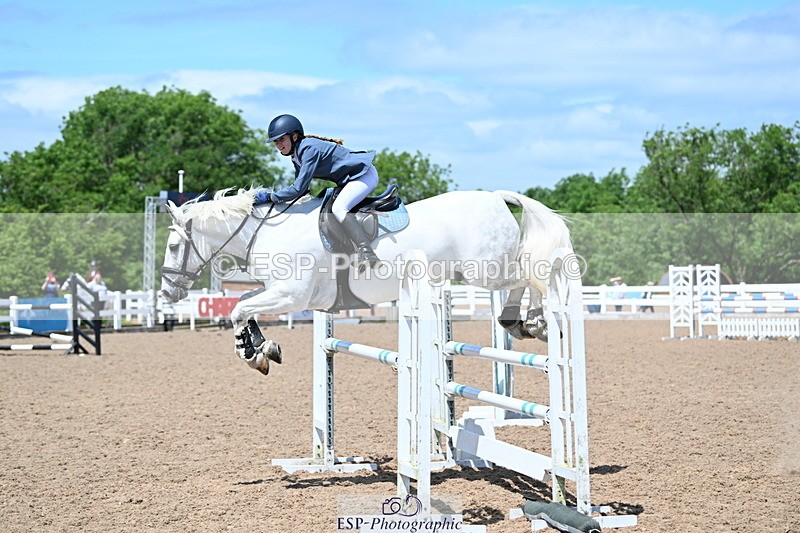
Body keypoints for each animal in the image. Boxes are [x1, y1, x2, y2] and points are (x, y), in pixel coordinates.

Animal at [160, 188, 572, 375]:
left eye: (174, 245)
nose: (168, 291)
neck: (268, 230)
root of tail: (496, 197)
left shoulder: (293, 295)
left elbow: (239, 309)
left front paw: (252, 353)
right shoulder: (279, 291)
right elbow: (243, 306)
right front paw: (263, 348)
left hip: (485, 269)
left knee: (531, 275)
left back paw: (532, 321)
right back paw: (518, 321)